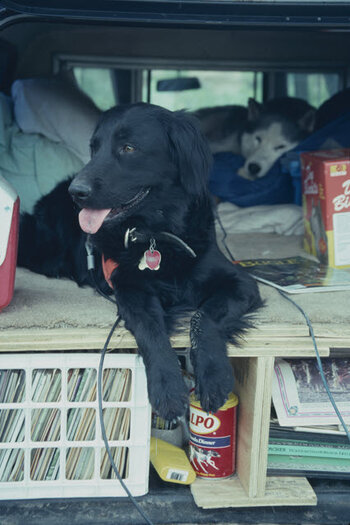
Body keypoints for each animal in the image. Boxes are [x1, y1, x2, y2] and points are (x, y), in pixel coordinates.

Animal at [17, 104, 262, 420]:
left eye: (129, 148)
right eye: (94, 148)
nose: (76, 192)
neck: (156, 234)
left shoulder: (240, 282)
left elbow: (203, 317)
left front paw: (215, 376)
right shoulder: (129, 287)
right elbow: (151, 328)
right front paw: (167, 388)